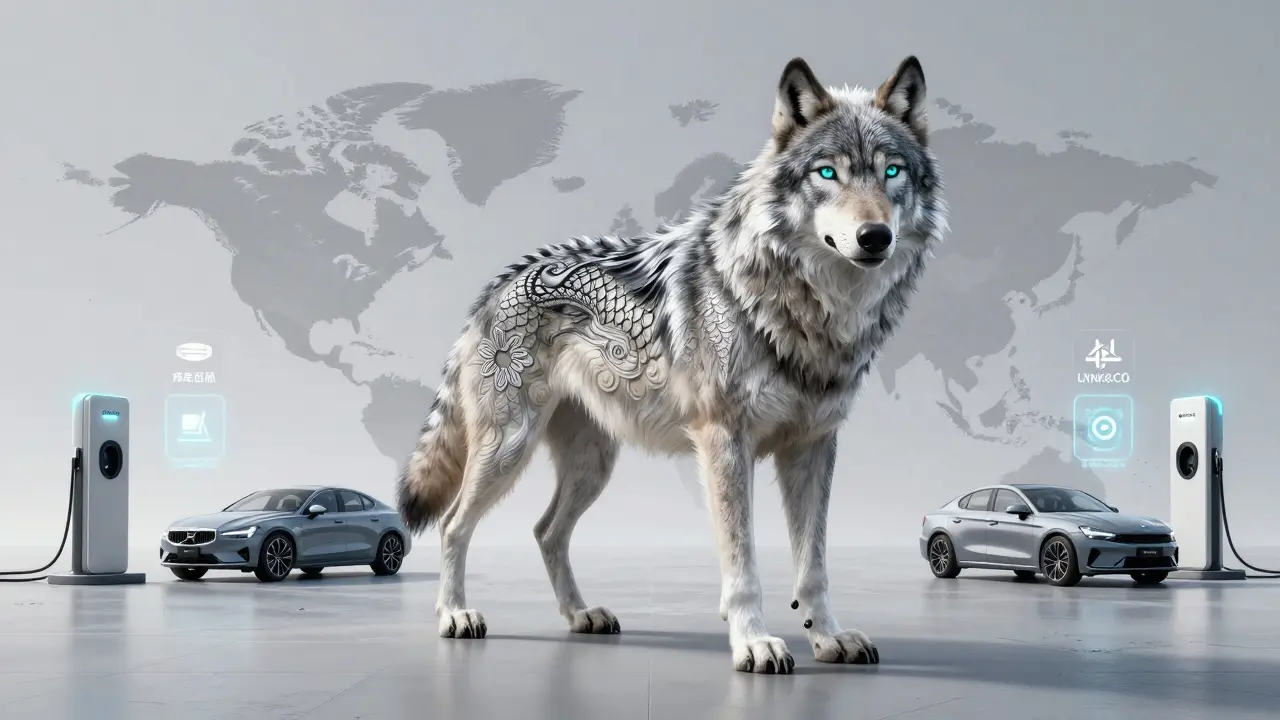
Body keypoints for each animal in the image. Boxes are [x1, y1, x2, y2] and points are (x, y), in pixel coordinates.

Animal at [397, 55, 948, 674]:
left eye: (892, 172)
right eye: (827, 174)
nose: (874, 236)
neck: (810, 312)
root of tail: (502, 280)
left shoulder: (813, 446)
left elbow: (814, 568)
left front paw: (828, 637)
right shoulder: (725, 442)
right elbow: (743, 564)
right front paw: (753, 642)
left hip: (593, 465)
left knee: (545, 532)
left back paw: (580, 615)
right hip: (507, 448)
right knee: (453, 525)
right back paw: (454, 615)